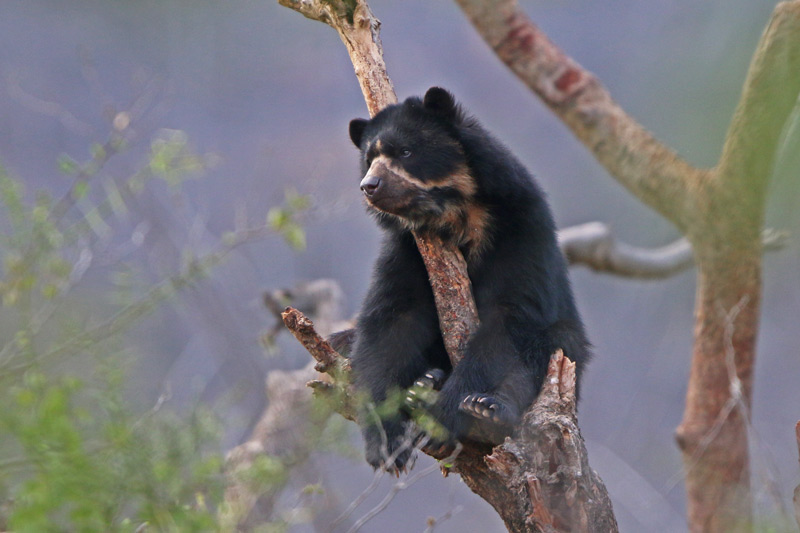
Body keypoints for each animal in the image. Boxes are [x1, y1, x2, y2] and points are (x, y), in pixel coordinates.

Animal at [346, 88, 592, 474]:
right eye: (370, 158)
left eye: (405, 152)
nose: (370, 186)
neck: (458, 214)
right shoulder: (406, 249)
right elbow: (391, 322)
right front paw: (387, 445)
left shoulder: (520, 230)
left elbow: (508, 322)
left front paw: (444, 419)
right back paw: (423, 383)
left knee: (551, 347)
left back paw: (486, 409)